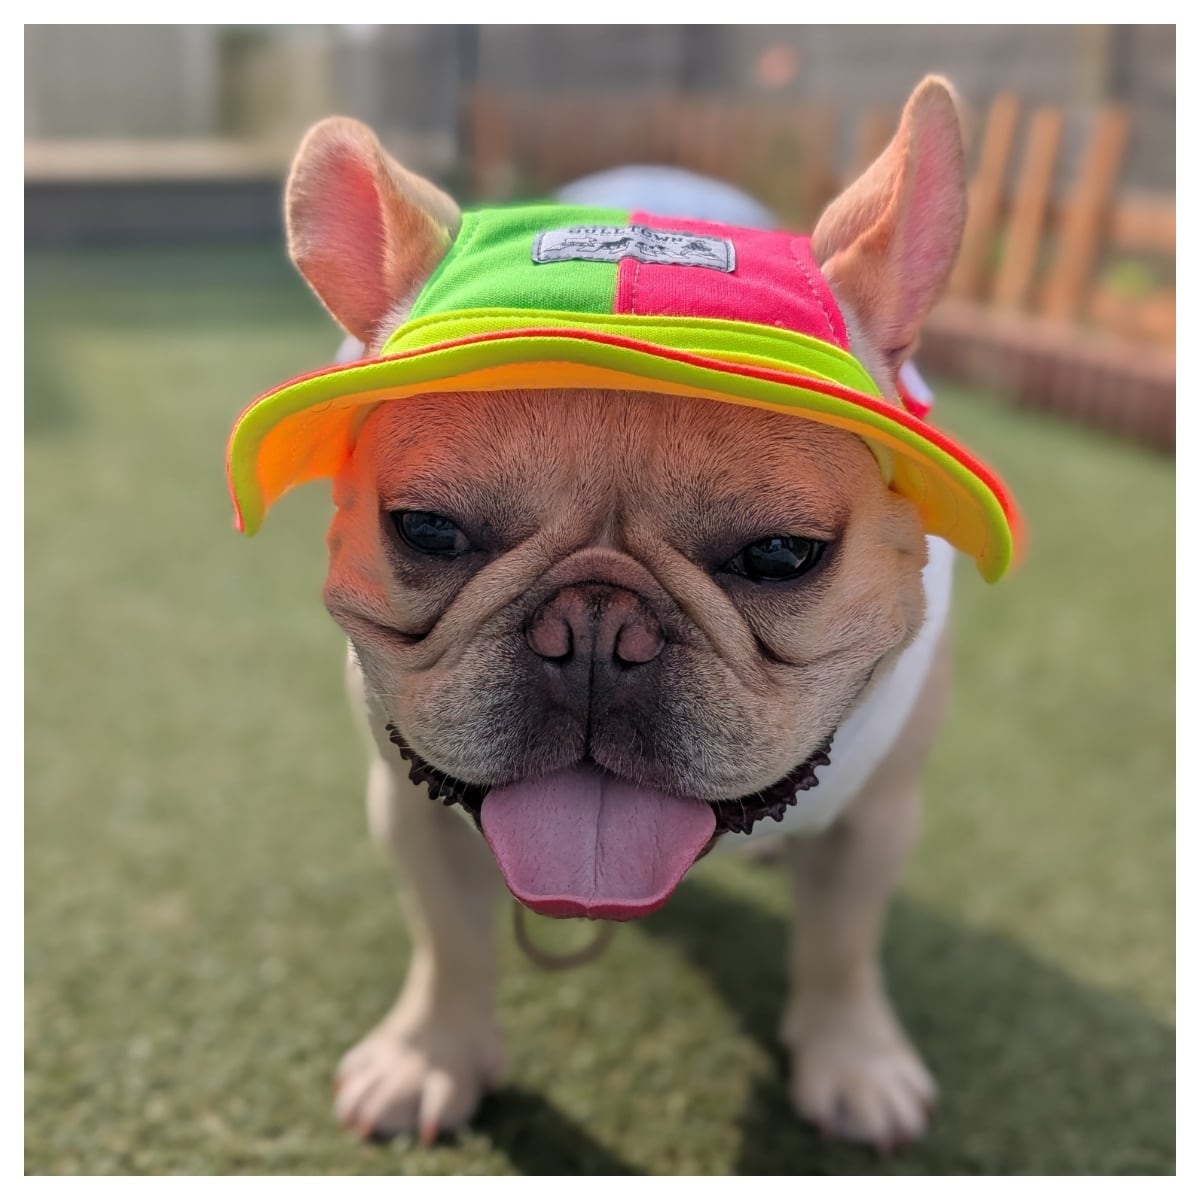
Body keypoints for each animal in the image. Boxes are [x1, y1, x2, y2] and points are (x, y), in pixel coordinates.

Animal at [225, 75, 1020, 1151]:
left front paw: (856, 1059)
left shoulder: (878, 819)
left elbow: (844, 944)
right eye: (428, 529)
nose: (594, 629)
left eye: (781, 554)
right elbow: (448, 940)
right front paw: (429, 1057)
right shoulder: (411, 809)